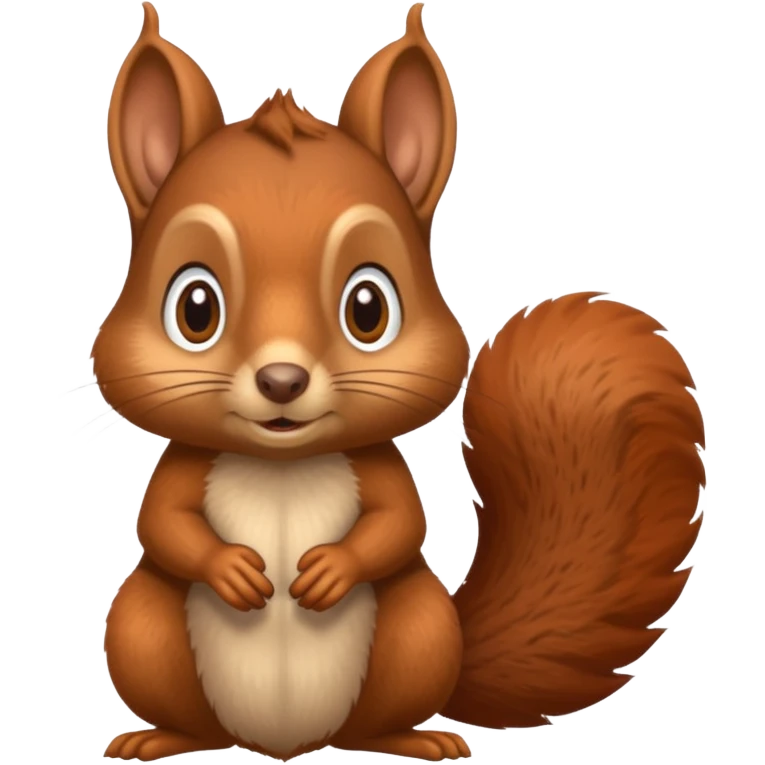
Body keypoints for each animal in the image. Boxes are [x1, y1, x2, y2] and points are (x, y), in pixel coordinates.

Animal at [98, 3, 706, 762]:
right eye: (195, 309)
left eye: (369, 308)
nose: (280, 379)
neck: (282, 464)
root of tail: (287, 744)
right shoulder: (182, 468)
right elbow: (162, 523)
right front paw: (231, 568)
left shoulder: (380, 470)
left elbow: (399, 523)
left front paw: (330, 569)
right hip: (140, 629)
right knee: (183, 703)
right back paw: (159, 735)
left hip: (418, 631)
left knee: (382, 716)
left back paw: (417, 737)